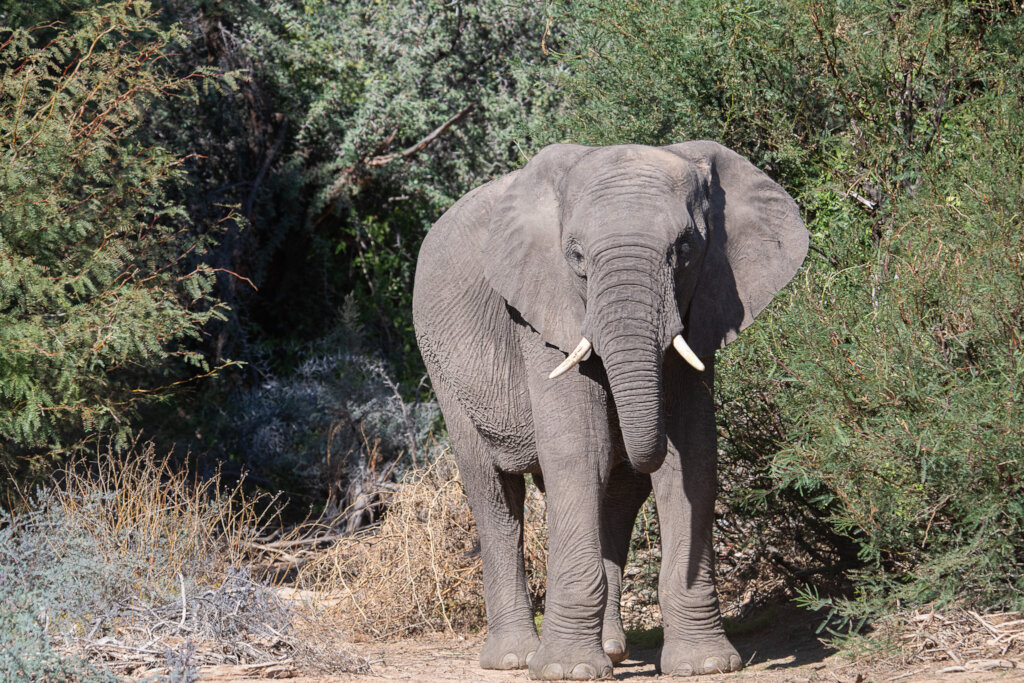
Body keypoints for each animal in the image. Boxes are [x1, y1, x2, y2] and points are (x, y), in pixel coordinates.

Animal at [412, 141, 807, 679]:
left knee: (617, 501)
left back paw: (612, 650)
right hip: (442, 367)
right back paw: (515, 657)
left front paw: (705, 664)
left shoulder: (703, 306)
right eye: (576, 256)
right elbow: (583, 451)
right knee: (495, 495)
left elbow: (691, 455)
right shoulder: (543, 313)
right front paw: (567, 671)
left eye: (684, 250)